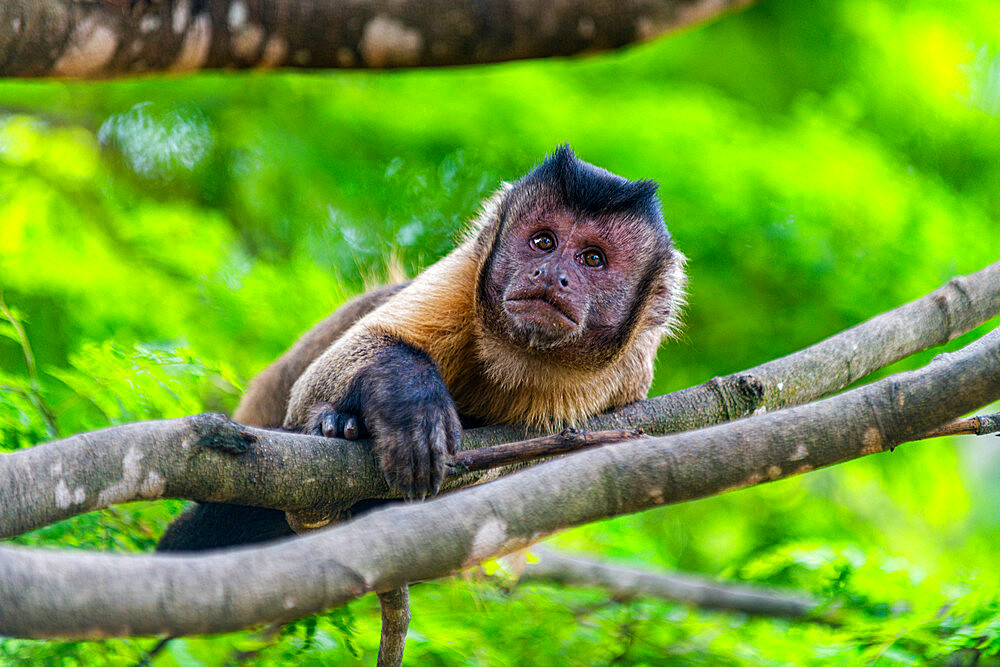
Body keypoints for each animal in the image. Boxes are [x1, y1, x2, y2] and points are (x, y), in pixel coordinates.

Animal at [158, 146, 688, 552]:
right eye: (543, 242)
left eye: (592, 259)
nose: (551, 273)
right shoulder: (462, 277)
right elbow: (336, 367)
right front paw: (410, 403)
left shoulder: (627, 385)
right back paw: (338, 425)